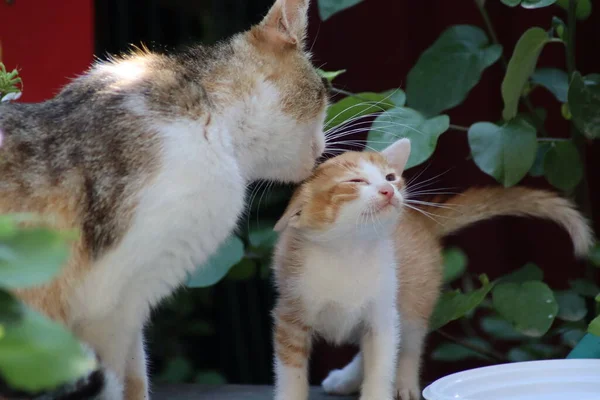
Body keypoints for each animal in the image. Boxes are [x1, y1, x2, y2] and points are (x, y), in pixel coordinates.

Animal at [0, 1, 326, 398]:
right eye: (325, 94)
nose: (323, 148)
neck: (211, 111)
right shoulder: (109, 300)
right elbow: (116, 379)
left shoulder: (131, 302)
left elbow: (135, 372)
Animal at [272, 138, 592, 400]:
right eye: (356, 181)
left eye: (390, 177)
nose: (389, 190)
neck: (348, 253)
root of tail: (422, 222)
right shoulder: (289, 316)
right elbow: (291, 373)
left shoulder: (382, 315)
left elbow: (382, 363)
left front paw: (380, 391)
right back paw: (346, 380)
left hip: (414, 299)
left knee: (409, 343)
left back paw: (403, 383)